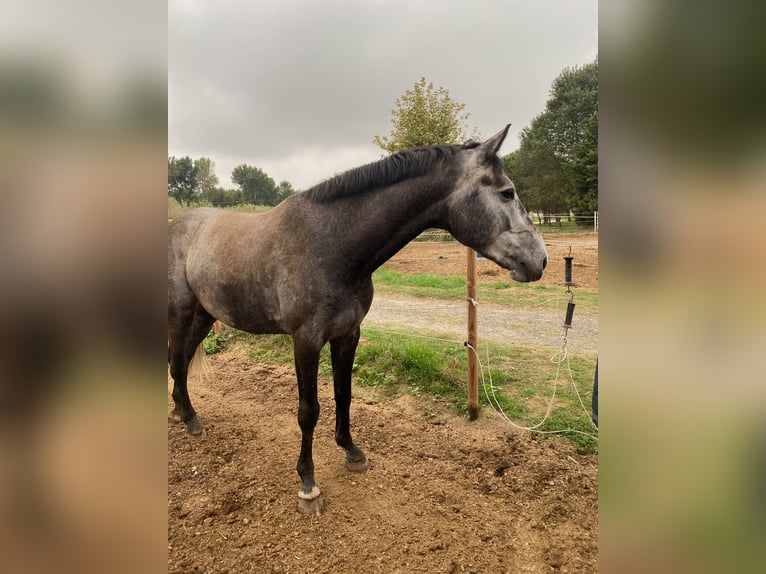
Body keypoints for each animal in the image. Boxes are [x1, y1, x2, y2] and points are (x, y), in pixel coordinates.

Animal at [170, 124, 548, 516]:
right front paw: (308, 485)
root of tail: (179, 224)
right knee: (177, 360)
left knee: (180, 360)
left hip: (204, 315)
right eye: (507, 192)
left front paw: (352, 452)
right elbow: (308, 410)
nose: (540, 259)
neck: (333, 245)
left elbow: (343, 394)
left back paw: (183, 415)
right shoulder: (306, 341)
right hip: (181, 311)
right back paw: (191, 421)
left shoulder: (347, 334)